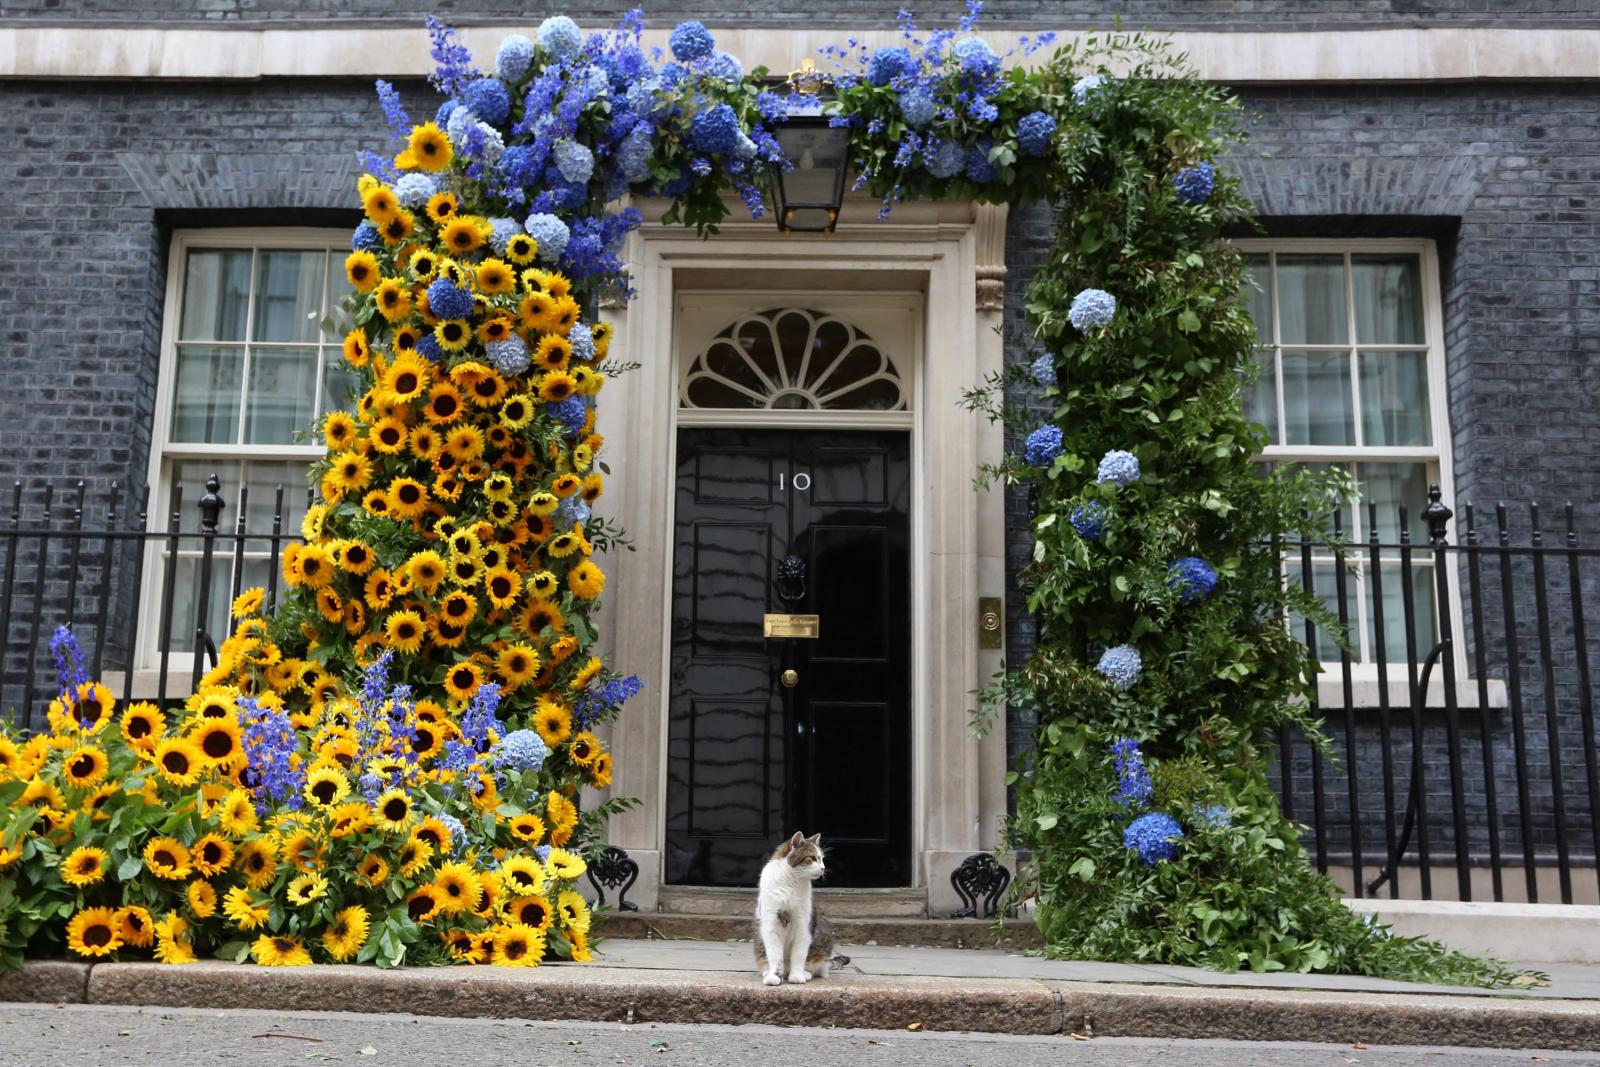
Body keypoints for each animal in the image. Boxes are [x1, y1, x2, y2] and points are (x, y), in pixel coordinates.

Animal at [755, 831, 844, 991]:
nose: (823, 868)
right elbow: (774, 955)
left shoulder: (803, 925)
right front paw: (774, 976)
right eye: (813, 858)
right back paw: (768, 972)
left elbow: (799, 954)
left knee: (816, 966)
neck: (790, 881)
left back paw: (805, 973)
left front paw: (797, 976)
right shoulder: (771, 924)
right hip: (759, 937)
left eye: (822, 859)